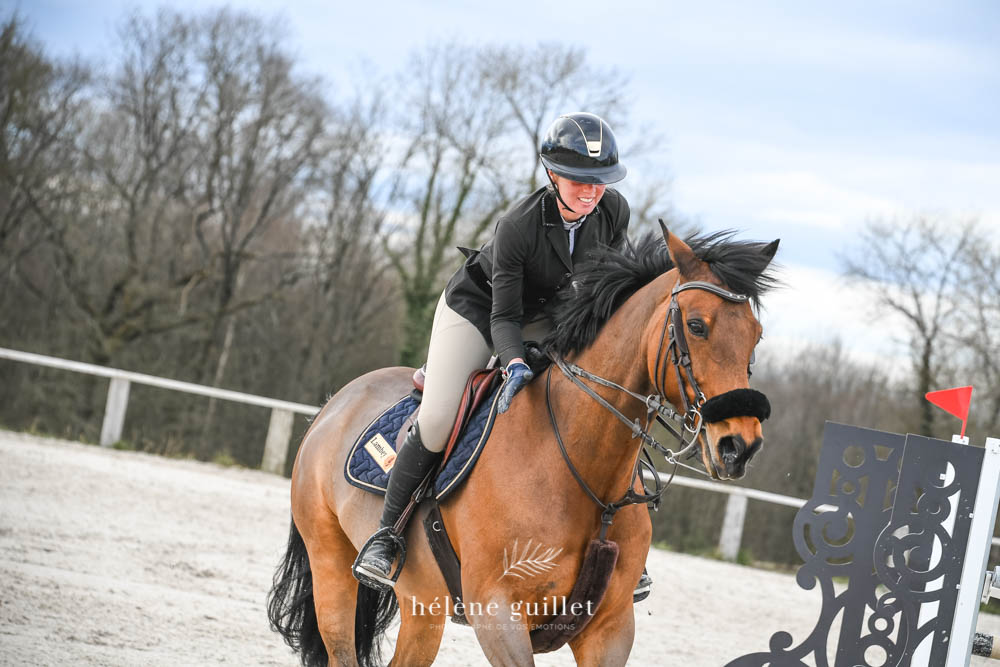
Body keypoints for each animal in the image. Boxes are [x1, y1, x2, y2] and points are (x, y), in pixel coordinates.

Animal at [268, 227, 780, 664]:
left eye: (756, 335)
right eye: (696, 326)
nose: (740, 446)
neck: (581, 470)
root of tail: (335, 403)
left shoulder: (610, 630)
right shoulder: (499, 614)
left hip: (421, 603)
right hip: (331, 565)